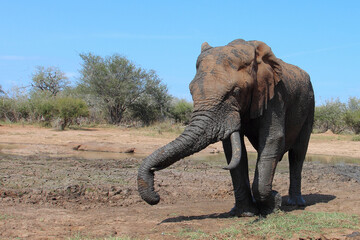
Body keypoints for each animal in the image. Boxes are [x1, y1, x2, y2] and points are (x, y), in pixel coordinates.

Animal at [136, 39, 314, 216]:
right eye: (190, 91)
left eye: (236, 91)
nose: (156, 196)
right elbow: (233, 150)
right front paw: (245, 212)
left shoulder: (275, 95)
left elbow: (273, 138)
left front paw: (273, 204)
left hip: (310, 104)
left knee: (297, 154)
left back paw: (295, 203)